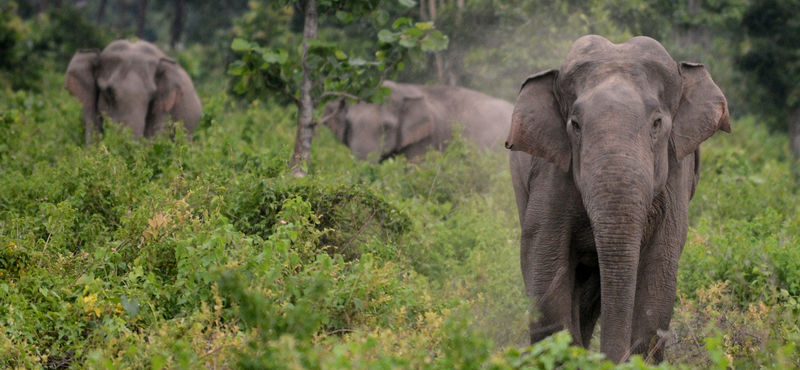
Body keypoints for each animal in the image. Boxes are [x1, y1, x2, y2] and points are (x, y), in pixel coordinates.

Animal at [506, 35, 732, 364]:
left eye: (656, 123)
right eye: (575, 125)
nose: (610, 360)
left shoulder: (676, 172)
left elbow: (659, 270)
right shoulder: (551, 174)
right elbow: (545, 258)